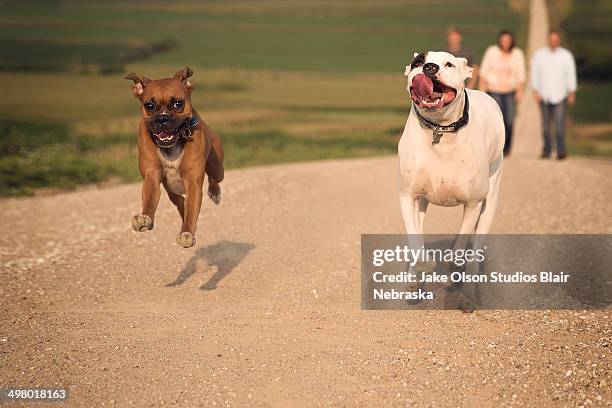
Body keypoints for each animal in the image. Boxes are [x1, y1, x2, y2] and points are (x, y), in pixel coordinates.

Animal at [124, 67, 222, 247]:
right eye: (149, 105)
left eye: (178, 103)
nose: (162, 118)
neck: (171, 146)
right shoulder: (151, 176)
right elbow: (149, 200)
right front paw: (145, 218)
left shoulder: (193, 183)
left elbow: (191, 212)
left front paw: (187, 233)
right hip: (171, 190)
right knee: (181, 204)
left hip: (217, 168)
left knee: (214, 178)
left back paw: (215, 193)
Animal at [400, 50, 504, 255]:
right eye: (418, 62)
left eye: (449, 64)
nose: (429, 67)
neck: (440, 128)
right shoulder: (408, 196)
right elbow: (415, 236)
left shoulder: (473, 204)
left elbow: (462, 239)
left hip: (490, 199)